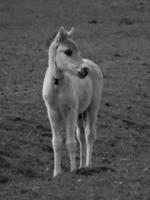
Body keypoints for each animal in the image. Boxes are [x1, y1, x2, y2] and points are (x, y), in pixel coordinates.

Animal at [42, 26, 103, 177]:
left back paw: (88, 165)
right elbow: (57, 142)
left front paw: (72, 170)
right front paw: (57, 173)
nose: (84, 70)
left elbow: (70, 142)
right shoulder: (53, 113)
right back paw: (81, 166)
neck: (57, 85)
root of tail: (92, 63)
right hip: (80, 114)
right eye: (68, 51)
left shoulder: (70, 112)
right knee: (81, 136)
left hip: (92, 108)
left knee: (89, 134)